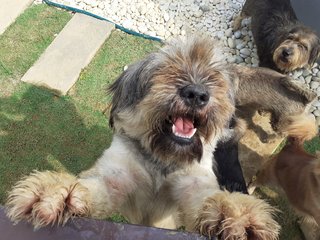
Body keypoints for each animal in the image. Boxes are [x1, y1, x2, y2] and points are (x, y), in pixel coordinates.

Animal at [5, 36, 280, 239]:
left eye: (214, 77)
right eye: (166, 70)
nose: (197, 94)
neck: (161, 159)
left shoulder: (191, 182)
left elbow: (204, 198)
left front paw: (235, 213)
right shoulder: (118, 176)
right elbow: (95, 187)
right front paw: (58, 193)